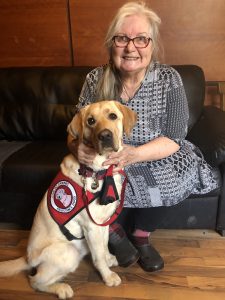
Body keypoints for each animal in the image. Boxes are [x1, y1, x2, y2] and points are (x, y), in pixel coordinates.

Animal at [0, 101, 136, 300]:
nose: (105, 135)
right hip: (69, 252)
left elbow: (103, 245)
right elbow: (98, 257)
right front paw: (108, 276)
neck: (98, 171)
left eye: (112, 116)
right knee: (35, 281)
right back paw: (61, 288)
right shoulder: (91, 226)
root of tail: (27, 258)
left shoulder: (102, 223)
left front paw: (109, 258)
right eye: (91, 121)